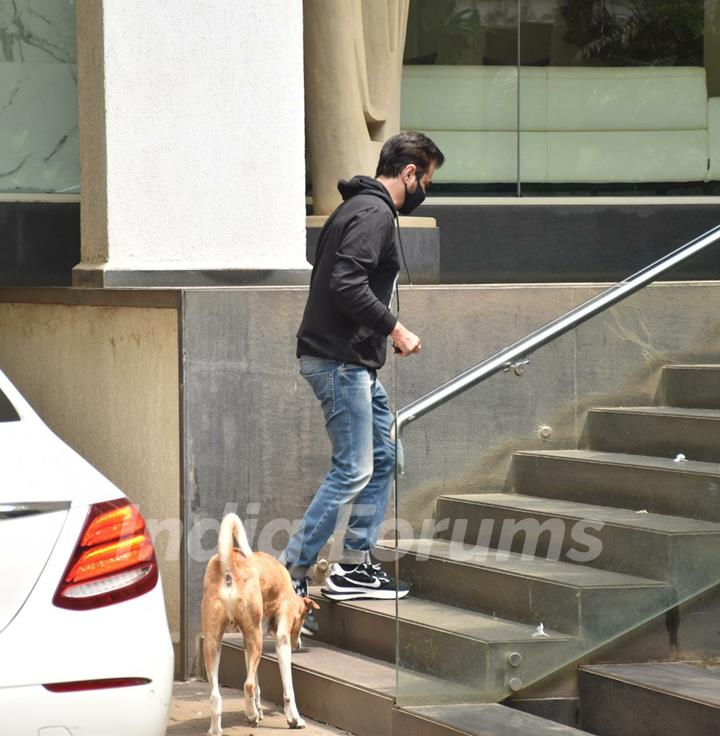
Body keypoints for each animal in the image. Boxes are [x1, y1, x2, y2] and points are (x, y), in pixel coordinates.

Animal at [200, 516, 318, 732]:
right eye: (302, 620)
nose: (298, 645)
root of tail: (228, 564)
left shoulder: (247, 642)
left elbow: (254, 678)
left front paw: (259, 709)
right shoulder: (281, 640)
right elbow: (288, 689)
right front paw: (294, 719)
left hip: (214, 642)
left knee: (216, 695)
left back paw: (217, 729)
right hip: (255, 638)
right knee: (247, 685)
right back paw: (251, 714)